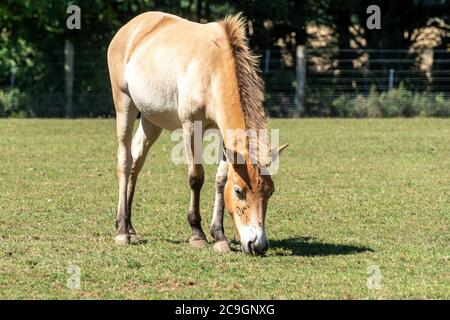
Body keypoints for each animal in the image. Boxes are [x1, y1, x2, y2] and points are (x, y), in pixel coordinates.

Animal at [107, 11, 286, 255]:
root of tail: (130, 28)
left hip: (151, 120)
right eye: (239, 191)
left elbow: (220, 179)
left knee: (137, 161)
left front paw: (219, 236)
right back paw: (122, 231)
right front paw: (197, 233)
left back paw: (129, 225)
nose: (257, 245)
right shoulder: (191, 127)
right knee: (125, 161)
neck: (213, 69)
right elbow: (196, 177)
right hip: (124, 103)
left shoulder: (224, 135)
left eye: (270, 192)